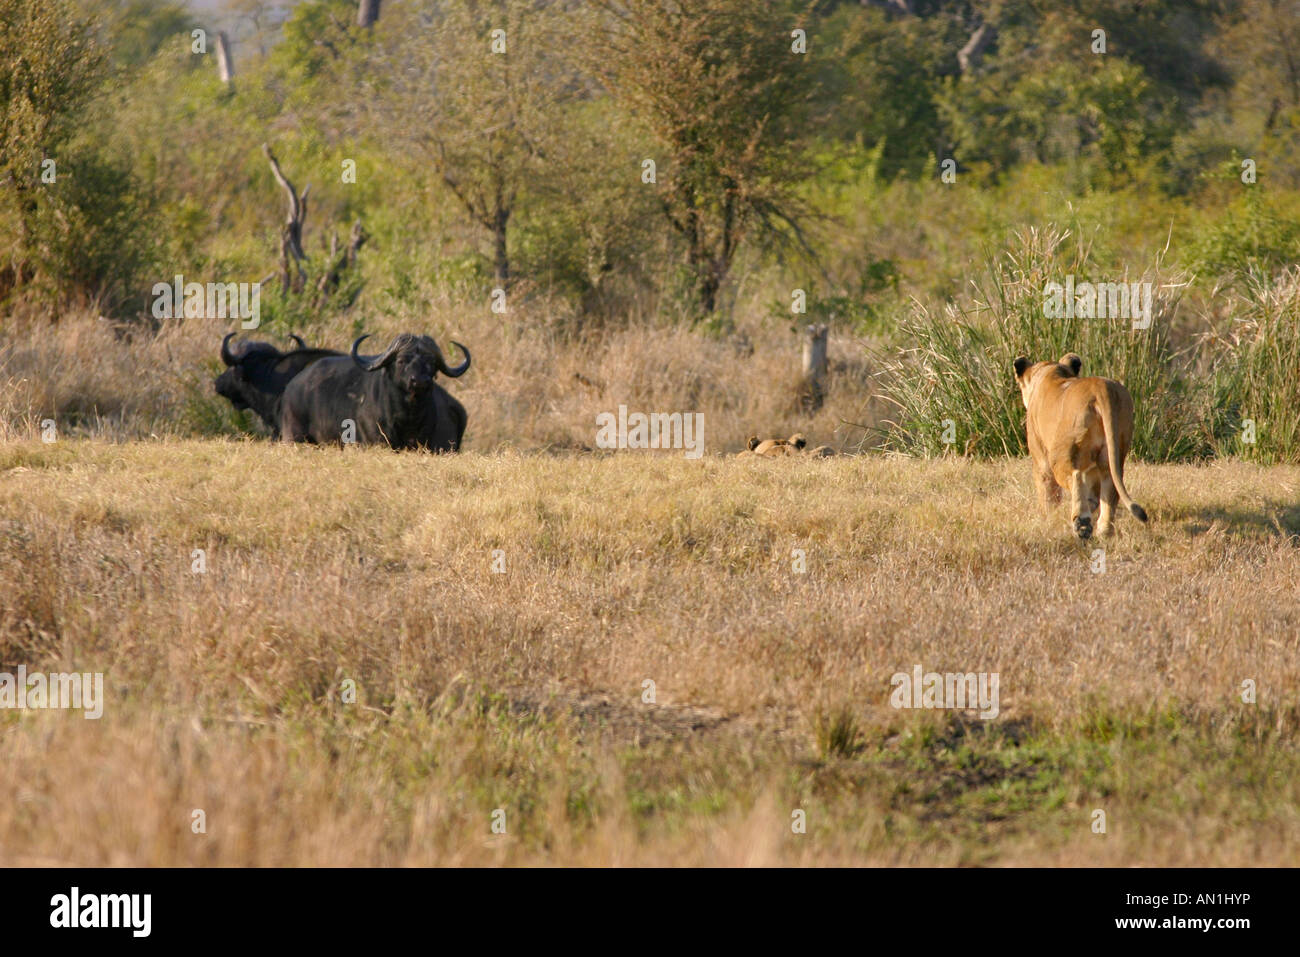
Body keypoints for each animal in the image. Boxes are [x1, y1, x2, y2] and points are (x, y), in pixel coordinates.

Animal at [279, 330, 473, 449]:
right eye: (401, 360)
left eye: (431, 362)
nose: (420, 381)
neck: (408, 416)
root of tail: (292, 387)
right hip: (294, 437)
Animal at [1013, 356, 1149, 540]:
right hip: (1113, 450)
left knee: (1075, 477)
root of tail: (1101, 387)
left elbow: (1047, 493)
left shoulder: (1040, 458)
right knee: (1110, 485)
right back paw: (1104, 531)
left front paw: (1046, 518)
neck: (1051, 372)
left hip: (1060, 453)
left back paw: (1082, 524)